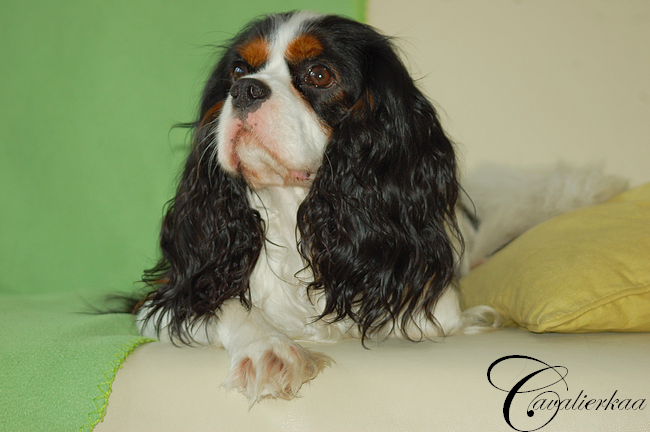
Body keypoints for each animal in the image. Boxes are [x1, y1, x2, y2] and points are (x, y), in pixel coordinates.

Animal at [133, 11, 627, 404]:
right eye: (237, 69)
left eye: (319, 75)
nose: (245, 90)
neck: (301, 218)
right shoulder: (167, 296)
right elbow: (222, 304)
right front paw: (268, 350)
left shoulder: (431, 312)